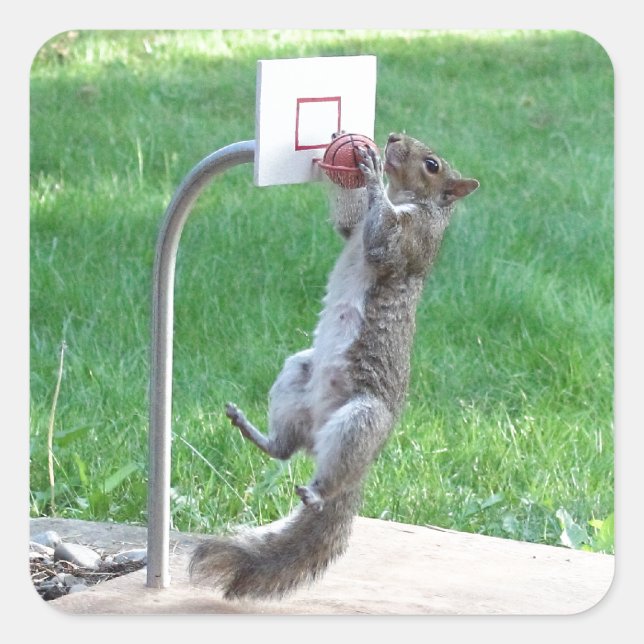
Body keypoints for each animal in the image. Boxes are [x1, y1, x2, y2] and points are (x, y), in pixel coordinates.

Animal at [189, 132, 479, 599]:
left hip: (361, 418)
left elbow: (383, 243)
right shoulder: (354, 230)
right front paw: (344, 157)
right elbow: (348, 224)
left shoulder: (409, 242)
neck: (411, 200)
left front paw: (371, 169)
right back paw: (254, 431)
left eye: (432, 164)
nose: (393, 137)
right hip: (297, 375)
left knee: (329, 477)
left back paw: (317, 492)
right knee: (285, 448)